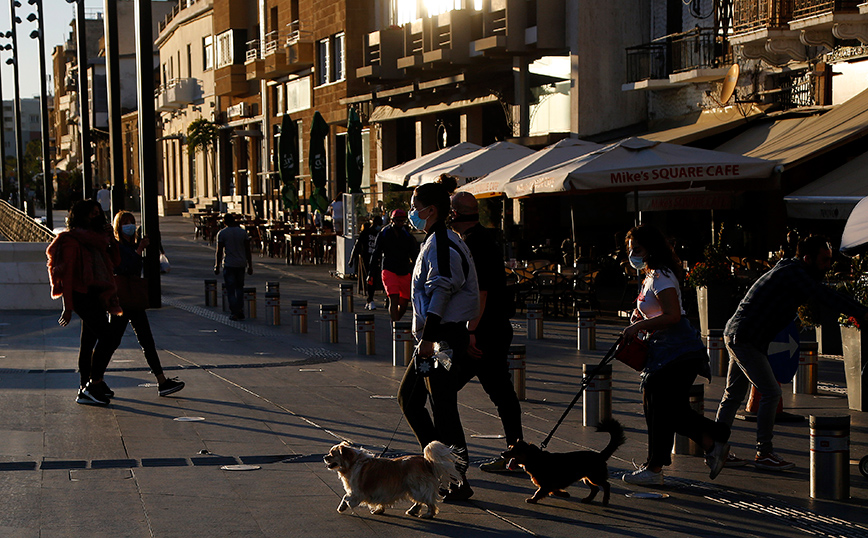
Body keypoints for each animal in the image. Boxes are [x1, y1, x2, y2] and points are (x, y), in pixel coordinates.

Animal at [324, 440, 462, 516]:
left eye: (332, 454)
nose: (324, 457)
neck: (352, 463)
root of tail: (426, 462)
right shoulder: (379, 491)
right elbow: (379, 502)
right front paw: (378, 510)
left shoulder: (357, 492)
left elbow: (346, 497)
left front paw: (342, 507)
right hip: (414, 489)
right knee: (420, 501)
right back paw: (413, 511)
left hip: (417, 488)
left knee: (429, 503)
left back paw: (428, 515)